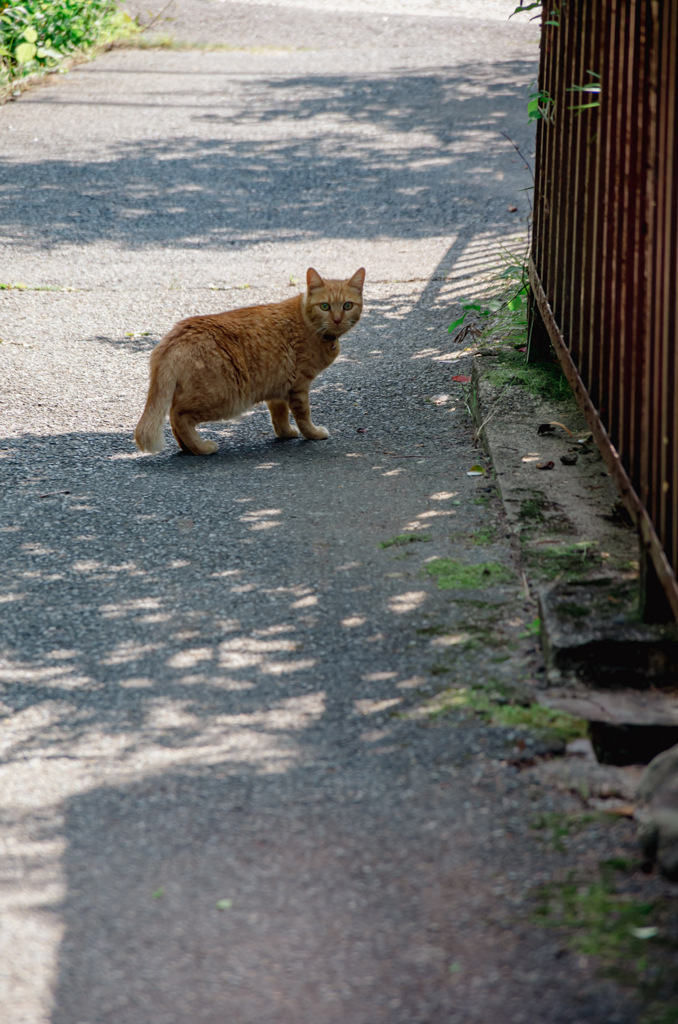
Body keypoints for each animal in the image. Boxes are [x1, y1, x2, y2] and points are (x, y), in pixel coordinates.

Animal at [134, 266, 366, 454]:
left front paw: (285, 433)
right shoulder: (299, 386)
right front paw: (313, 433)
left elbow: (279, 416)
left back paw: (187, 448)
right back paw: (201, 448)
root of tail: (174, 336)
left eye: (347, 305)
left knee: (174, 418)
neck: (310, 325)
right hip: (223, 396)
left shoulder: (278, 386)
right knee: (177, 415)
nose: (337, 319)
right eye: (325, 306)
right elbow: (303, 416)